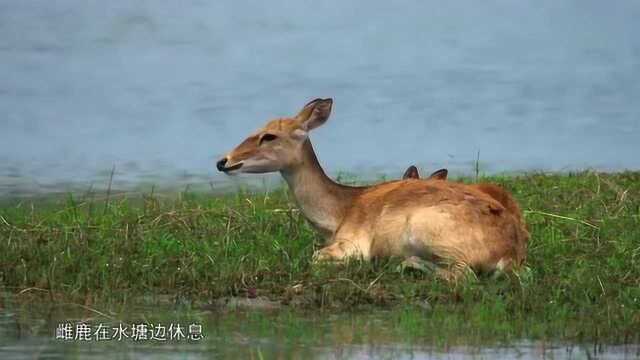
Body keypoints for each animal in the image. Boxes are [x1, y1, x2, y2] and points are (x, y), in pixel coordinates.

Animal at [218, 99, 528, 282]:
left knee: (462, 275)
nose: (223, 161)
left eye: (269, 135)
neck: (339, 214)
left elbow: (317, 257)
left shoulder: (353, 243)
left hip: (429, 232)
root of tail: (510, 254)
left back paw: (405, 264)